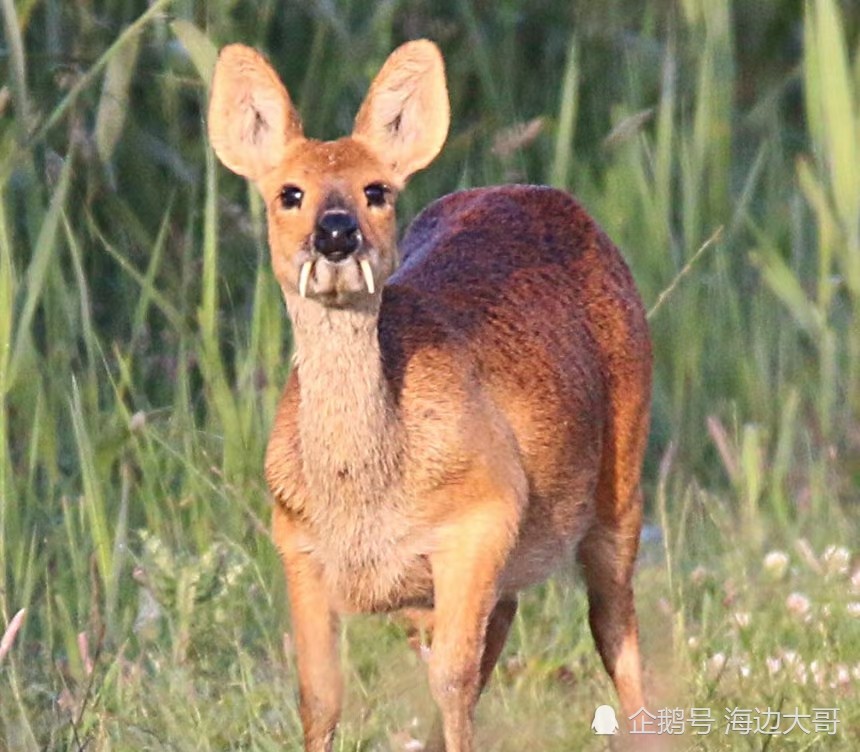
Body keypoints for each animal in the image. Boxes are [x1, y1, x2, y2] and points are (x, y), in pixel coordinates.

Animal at [208, 39, 652, 752]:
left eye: (376, 190)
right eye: (289, 193)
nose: (336, 233)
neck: (365, 496)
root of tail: (550, 196)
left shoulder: (482, 516)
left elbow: (453, 680)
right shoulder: (297, 542)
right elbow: (319, 696)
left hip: (621, 479)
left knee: (615, 631)